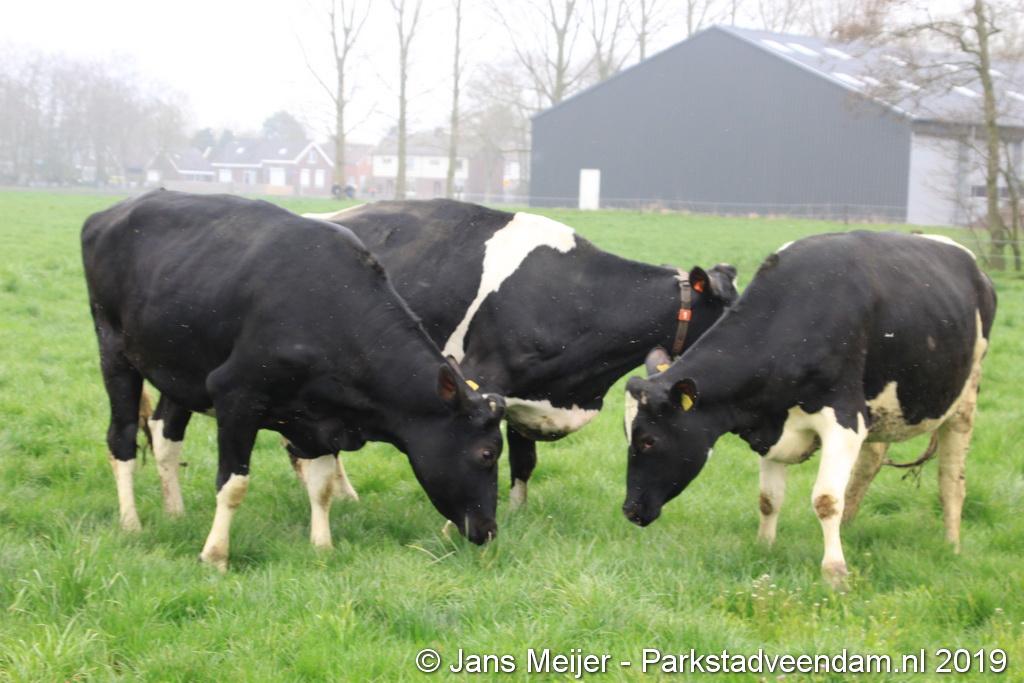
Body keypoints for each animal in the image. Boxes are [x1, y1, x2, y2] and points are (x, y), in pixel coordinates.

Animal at [81, 190, 505, 571]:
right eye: (486, 454)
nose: (489, 530)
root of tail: (107, 214)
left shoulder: (316, 419)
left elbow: (322, 485)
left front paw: (322, 546)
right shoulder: (235, 394)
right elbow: (233, 484)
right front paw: (215, 555)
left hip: (179, 369)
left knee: (165, 435)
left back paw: (175, 512)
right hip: (115, 353)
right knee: (122, 438)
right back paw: (131, 523)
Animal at [621, 231, 996, 587]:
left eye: (648, 440)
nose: (630, 510)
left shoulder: (844, 420)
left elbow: (826, 500)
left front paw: (835, 573)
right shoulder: (770, 424)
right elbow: (769, 498)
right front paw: (764, 548)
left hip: (964, 401)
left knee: (951, 480)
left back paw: (951, 545)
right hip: (884, 408)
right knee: (869, 465)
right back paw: (850, 527)